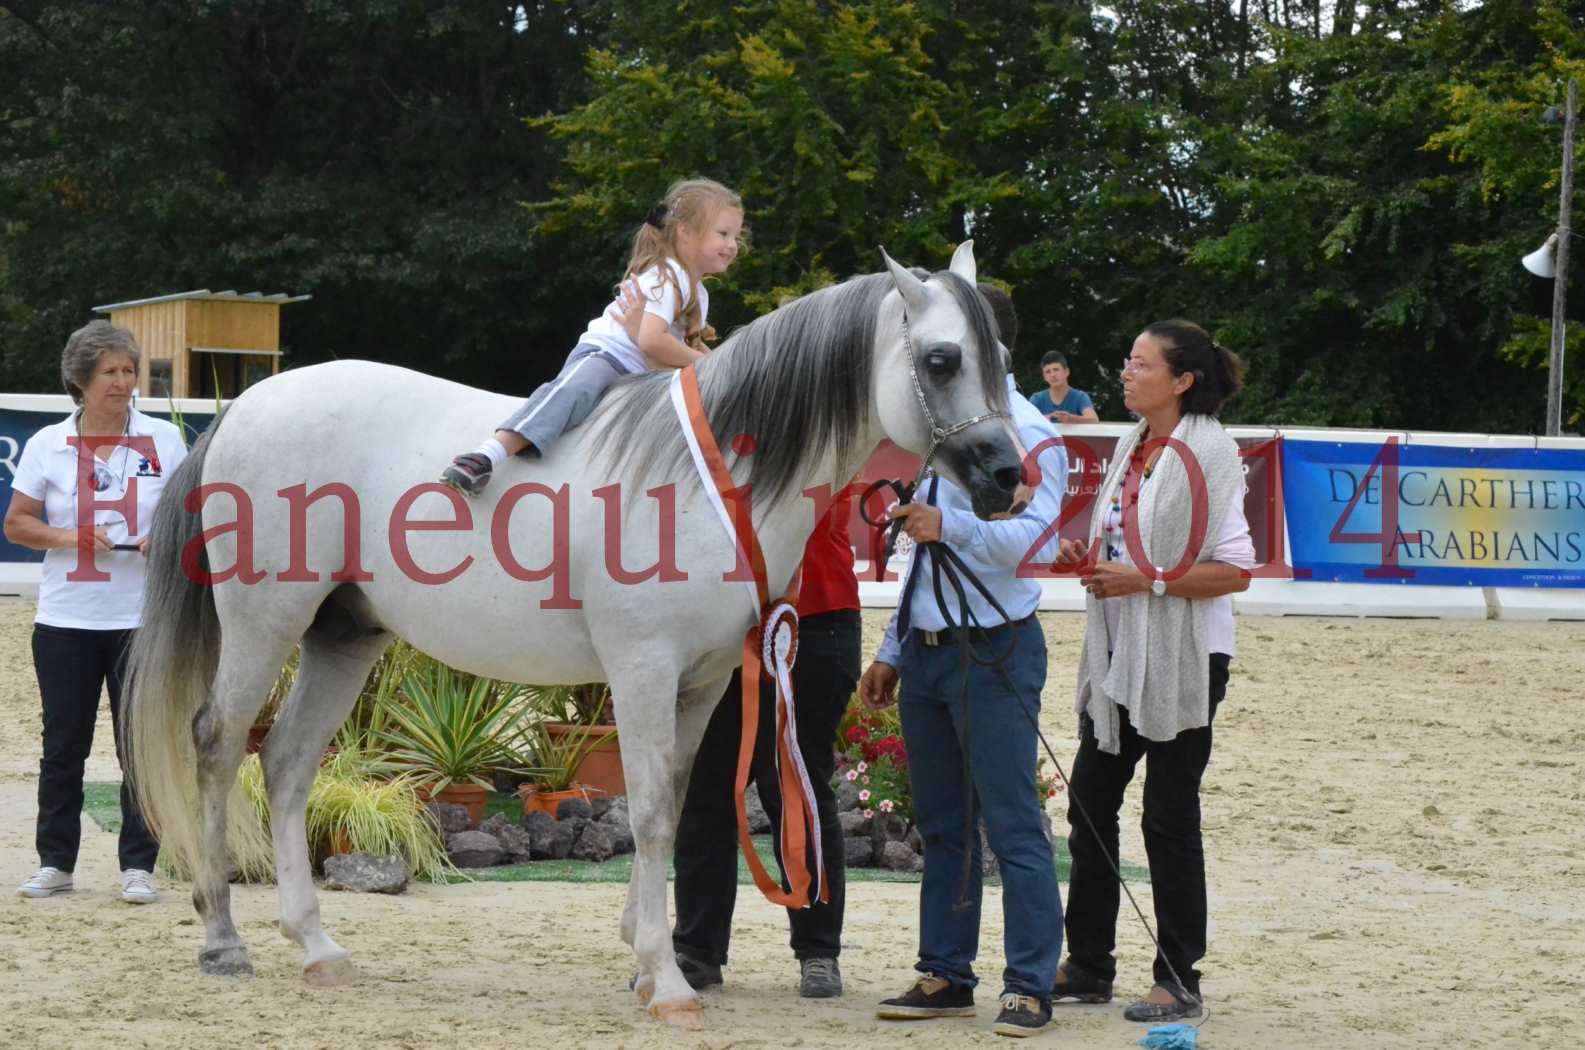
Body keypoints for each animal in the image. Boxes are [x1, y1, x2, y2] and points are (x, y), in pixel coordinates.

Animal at [120, 242, 1014, 1021]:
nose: (1008, 474)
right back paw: (222, 937)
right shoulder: (642, 669)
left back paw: (316, 945)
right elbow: (648, 812)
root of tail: (242, 409)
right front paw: (667, 981)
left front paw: (646, 961)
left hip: (344, 637)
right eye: (941, 359)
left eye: (999, 353)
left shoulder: (703, 680)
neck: (710, 475)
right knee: (217, 744)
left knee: (287, 761)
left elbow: (674, 806)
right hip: (264, 622)